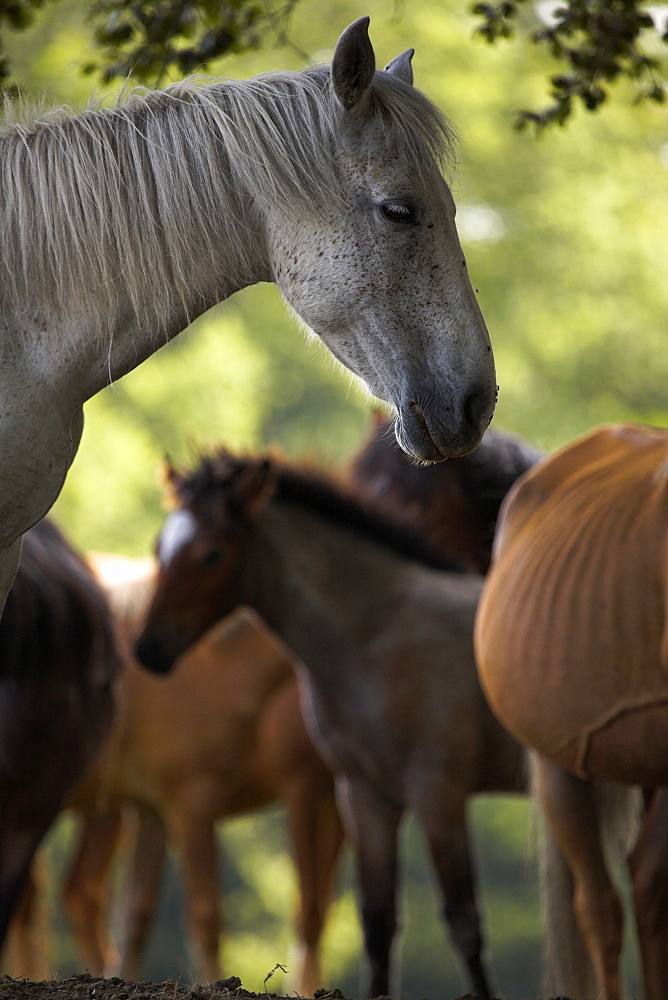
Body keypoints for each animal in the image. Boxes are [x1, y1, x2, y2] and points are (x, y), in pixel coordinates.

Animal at [133, 450, 524, 996]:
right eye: (159, 548)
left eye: (211, 554)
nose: (148, 649)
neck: (378, 633)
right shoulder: (364, 795)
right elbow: (377, 922)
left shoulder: (437, 793)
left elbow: (464, 920)